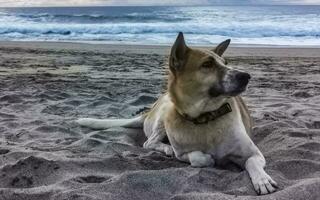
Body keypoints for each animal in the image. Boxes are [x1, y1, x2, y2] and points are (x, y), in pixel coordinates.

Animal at [75, 32, 278, 195]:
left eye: (226, 63)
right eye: (207, 64)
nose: (246, 76)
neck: (205, 118)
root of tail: (149, 110)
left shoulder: (255, 154)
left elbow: (251, 162)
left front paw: (263, 180)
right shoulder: (183, 154)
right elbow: (198, 158)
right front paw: (205, 158)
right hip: (166, 111)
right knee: (149, 142)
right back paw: (166, 148)